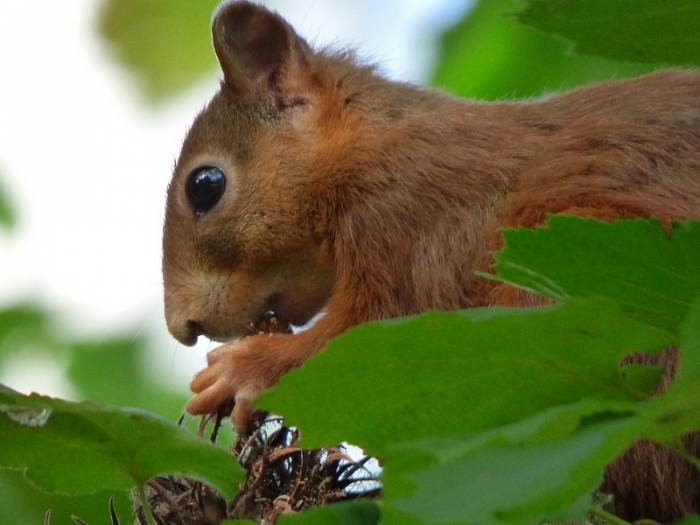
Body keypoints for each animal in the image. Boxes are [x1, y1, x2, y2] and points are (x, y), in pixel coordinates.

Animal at [162, 1, 700, 521]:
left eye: (205, 185)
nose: (181, 327)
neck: (367, 147)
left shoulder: (414, 218)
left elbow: (373, 333)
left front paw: (241, 369)